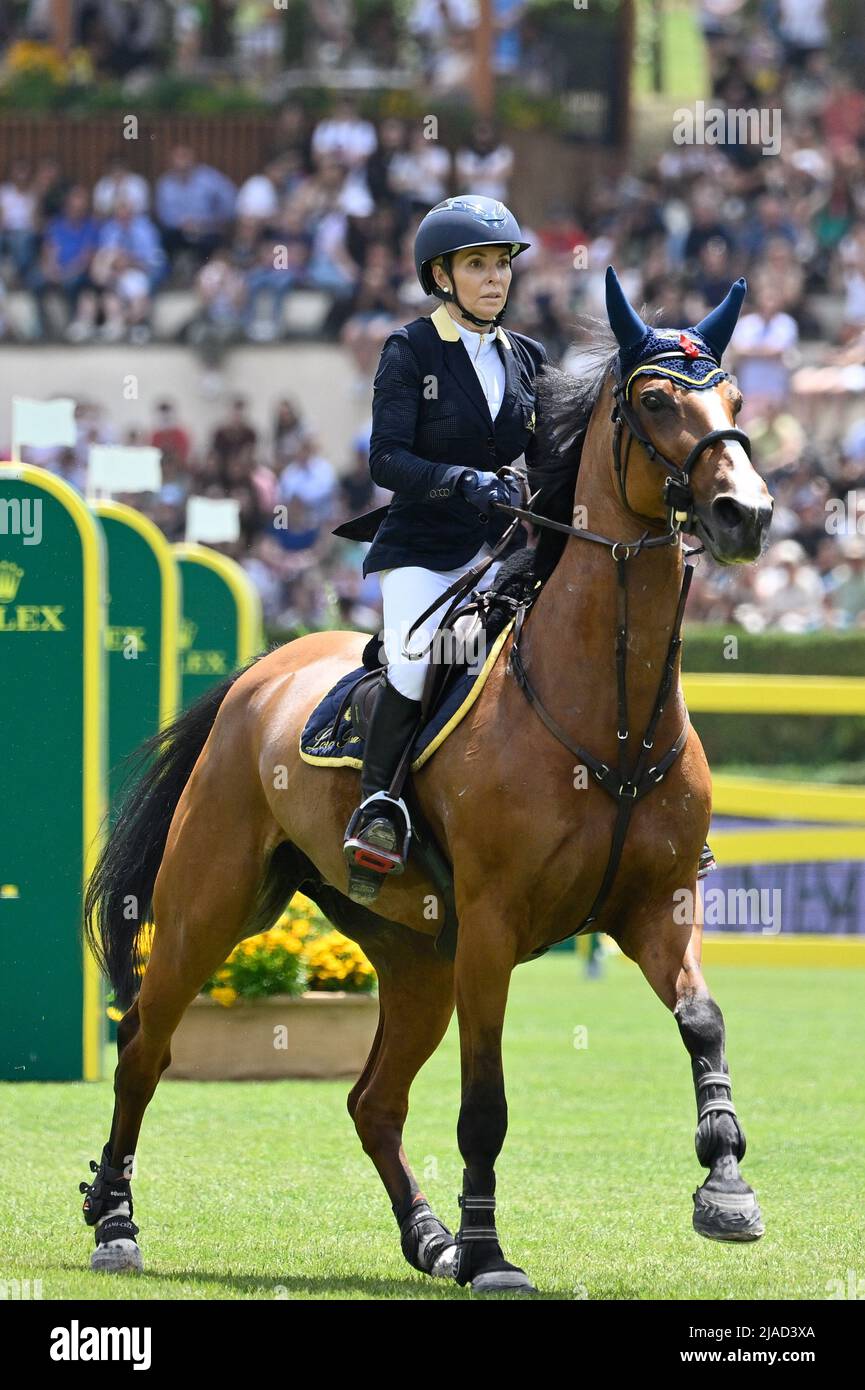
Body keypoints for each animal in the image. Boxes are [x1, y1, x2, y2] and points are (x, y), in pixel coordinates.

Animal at [81, 268, 773, 1289]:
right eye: (654, 401)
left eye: (735, 403)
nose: (744, 515)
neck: (607, 709)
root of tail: (260, 673)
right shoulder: (492, 927)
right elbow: (484, 1102)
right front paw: (492, 1256)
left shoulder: (657, 907)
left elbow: (704, 1021)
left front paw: (725, 1189)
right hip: (214, 906)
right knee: (144, 1045)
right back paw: (117, 1222)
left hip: (415, 956)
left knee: (372, 1098)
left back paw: (429, 1238)